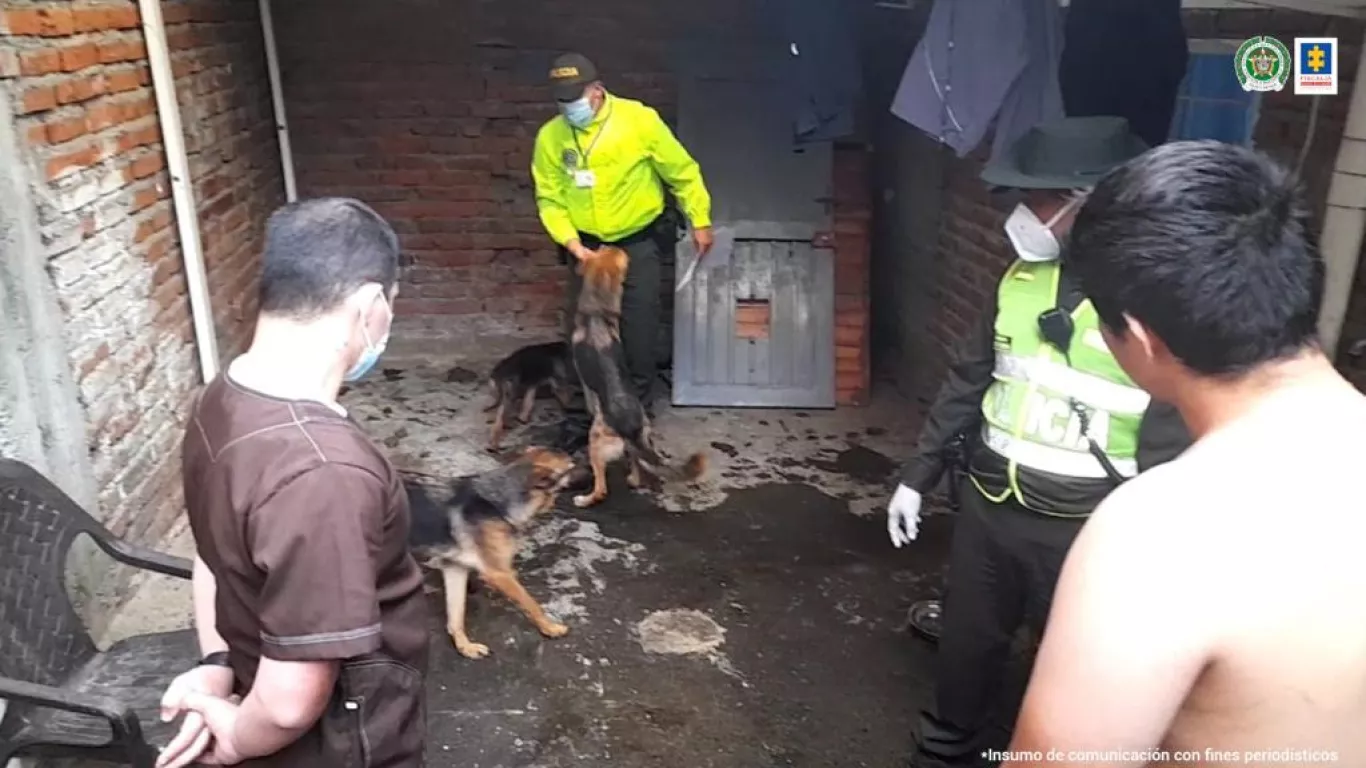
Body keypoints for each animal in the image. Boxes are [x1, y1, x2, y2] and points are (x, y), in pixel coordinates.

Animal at [404, 448, 576, 658]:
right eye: (566, 463)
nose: (573, 454)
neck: (498, 502)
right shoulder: (500, 574)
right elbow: (531, 603)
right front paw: (549, 627)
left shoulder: (455, 569)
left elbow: (456, 615)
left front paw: (465, 646)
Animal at [570, 245, 710, 508]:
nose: (615, 245)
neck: (597, 313)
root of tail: (631, 426)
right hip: (640, 439)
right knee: (636, 464)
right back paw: (633, 479)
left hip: (596, 443)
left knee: (602, 487)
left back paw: (586, 499)